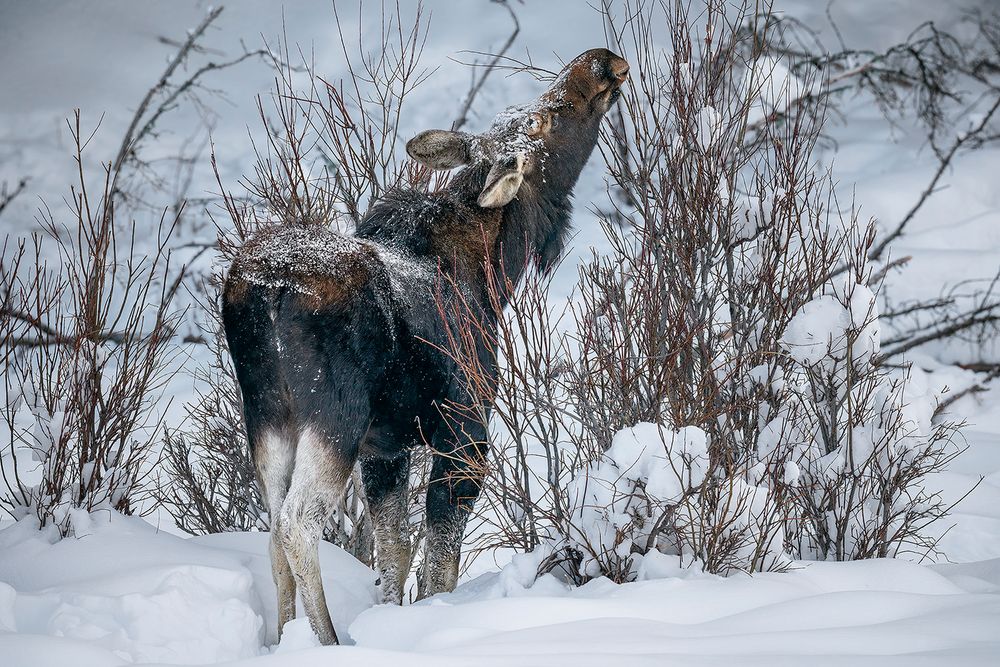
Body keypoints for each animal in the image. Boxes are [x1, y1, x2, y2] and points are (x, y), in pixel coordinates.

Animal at [223, 48, 628, 648]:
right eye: (544, 118)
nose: (600, 63)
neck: (498, 270)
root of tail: (265, 289)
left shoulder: (386, 449)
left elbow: (394, 551)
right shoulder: (463, 435)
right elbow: (441, 562)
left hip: (267, 417)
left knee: (273, 527)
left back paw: (282, 638)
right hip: (333, 417)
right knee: (298, 523)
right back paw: (326, 639)